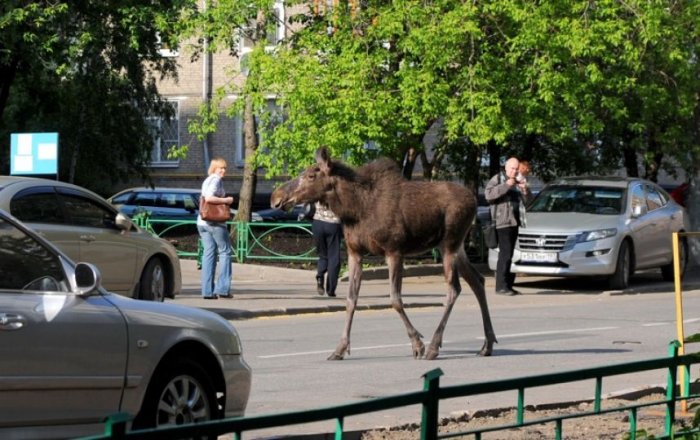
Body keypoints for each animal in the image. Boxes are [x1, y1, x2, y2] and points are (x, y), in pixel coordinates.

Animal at [270, 148, 498, 360]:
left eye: (311, 175)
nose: (276, 197)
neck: (355, 209)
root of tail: (474, 201)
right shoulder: (355, 253)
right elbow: (351, 300)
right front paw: (339, 349)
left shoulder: (394, 251)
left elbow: (395, 299)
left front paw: (417, 344)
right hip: (455, 247)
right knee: (478, 281)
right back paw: (487, 344)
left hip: (450, 243)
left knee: (454, 289)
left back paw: (434, 346)